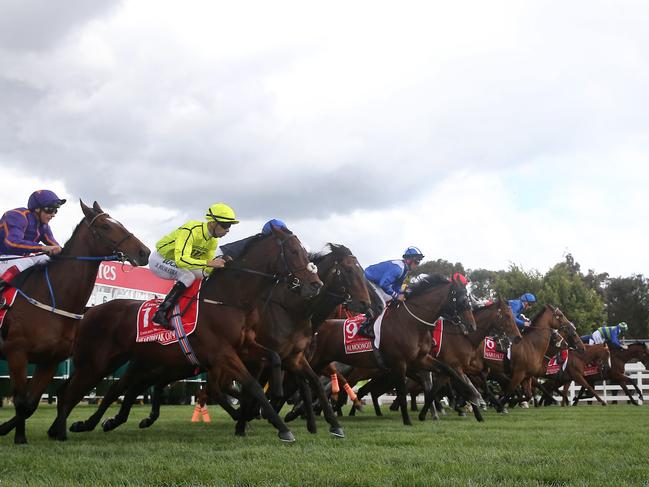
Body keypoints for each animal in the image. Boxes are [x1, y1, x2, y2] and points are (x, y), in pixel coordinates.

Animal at [0, 202, 148, 446]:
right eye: (105, 226)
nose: (144, 252)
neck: (51, 298)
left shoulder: (50, 360)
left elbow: (31, 403)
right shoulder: (17, 353)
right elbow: (22, 400)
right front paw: (20, 438)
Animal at [47, 227, 322, 444]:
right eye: (295, 252)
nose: (315, 284)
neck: (229, 300)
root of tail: (91, 310)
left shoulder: (245, 346)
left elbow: (273, 358)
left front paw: (276, 395)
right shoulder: (222, 354)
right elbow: (253, 385)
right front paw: (283, 428)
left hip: (118, 361)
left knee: (96, 390)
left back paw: (72, 426)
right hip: (98, 363)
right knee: (79, 392)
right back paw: (66, 428)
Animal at [306, 274, 478, 428]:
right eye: (463, 300)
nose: (472, 326)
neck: (412, 324)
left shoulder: (421, 359)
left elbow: (448, 371)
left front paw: (472, 396)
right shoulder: (399, 363)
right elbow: (402, 392)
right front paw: (407, 420)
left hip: (324, 362)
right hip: (318, 361)